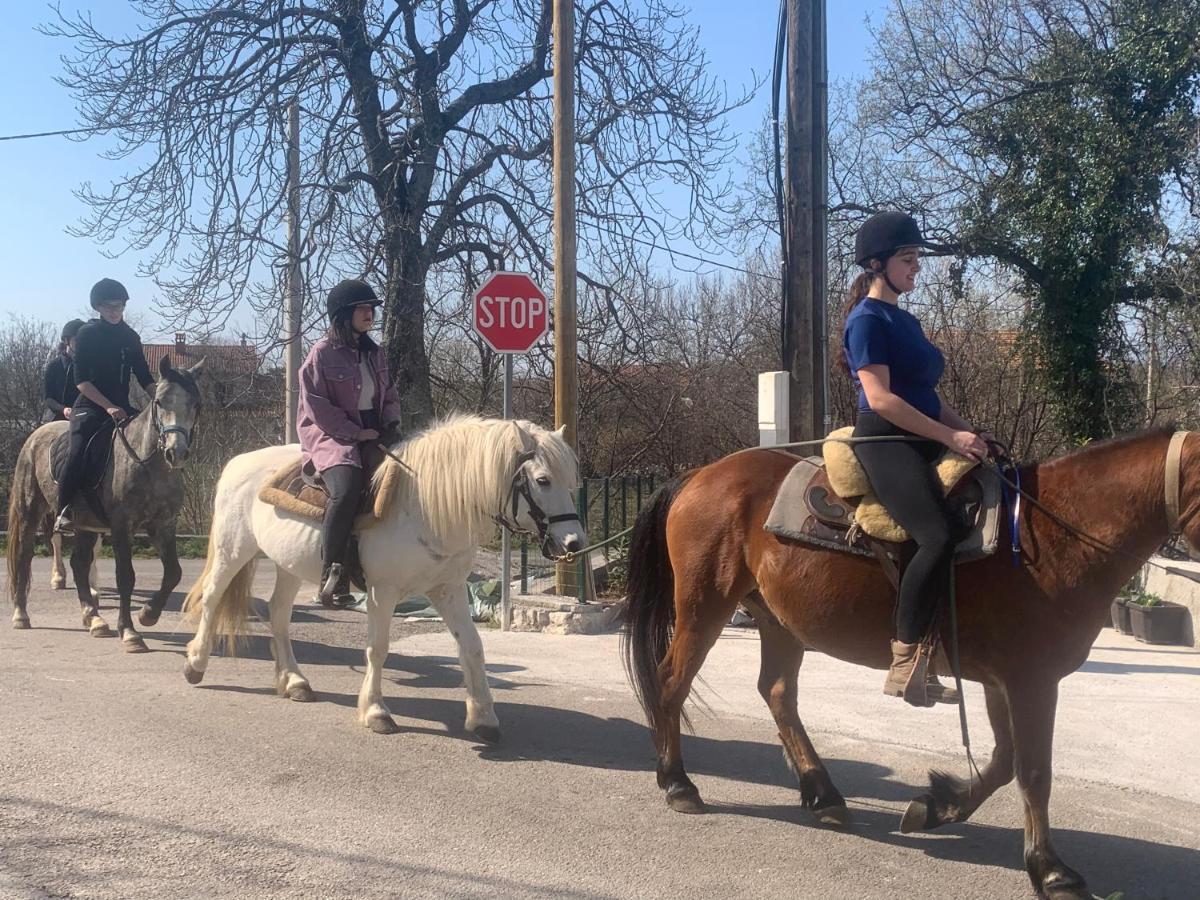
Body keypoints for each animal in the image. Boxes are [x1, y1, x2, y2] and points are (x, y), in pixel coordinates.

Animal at [7, 355, 202, 652]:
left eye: (194, 403)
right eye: (159, 401)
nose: (176, 452)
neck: (147, 463)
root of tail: (35, 435)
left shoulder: (164, 525)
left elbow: (173, 573)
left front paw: (148, 614)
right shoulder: (122, 526)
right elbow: (125, 577)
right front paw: (130, 632)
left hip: (84, 525)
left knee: (79, 563)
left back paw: (94, 618)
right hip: (30, 511)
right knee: (24, 555)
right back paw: (21, 615)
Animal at [178, 415, 585, 739]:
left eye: (571, 481)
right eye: (543, 480)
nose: (574, 542)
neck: (424, 507)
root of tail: (239, 462)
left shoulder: (448, 590)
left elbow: (472, 647)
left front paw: (483, 716)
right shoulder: (382, 592)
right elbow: (378, 649)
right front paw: (376, 712)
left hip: (286, 564)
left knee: (278, 614)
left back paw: (294, 681)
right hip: (234, 550)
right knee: (212, 597)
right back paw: (196, 664)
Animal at [624, 429, 1195, 900]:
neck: (1051, 536)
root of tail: (701, 474)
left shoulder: (1002, 680)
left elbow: (1003, 761)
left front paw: (938, 807)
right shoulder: (1030, 680)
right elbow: (1033, 770)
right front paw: (1050, 870)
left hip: (778, 619)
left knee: (777, 692)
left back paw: (822, 793)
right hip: (704, 605)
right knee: (672, 683)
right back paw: (678, 783)